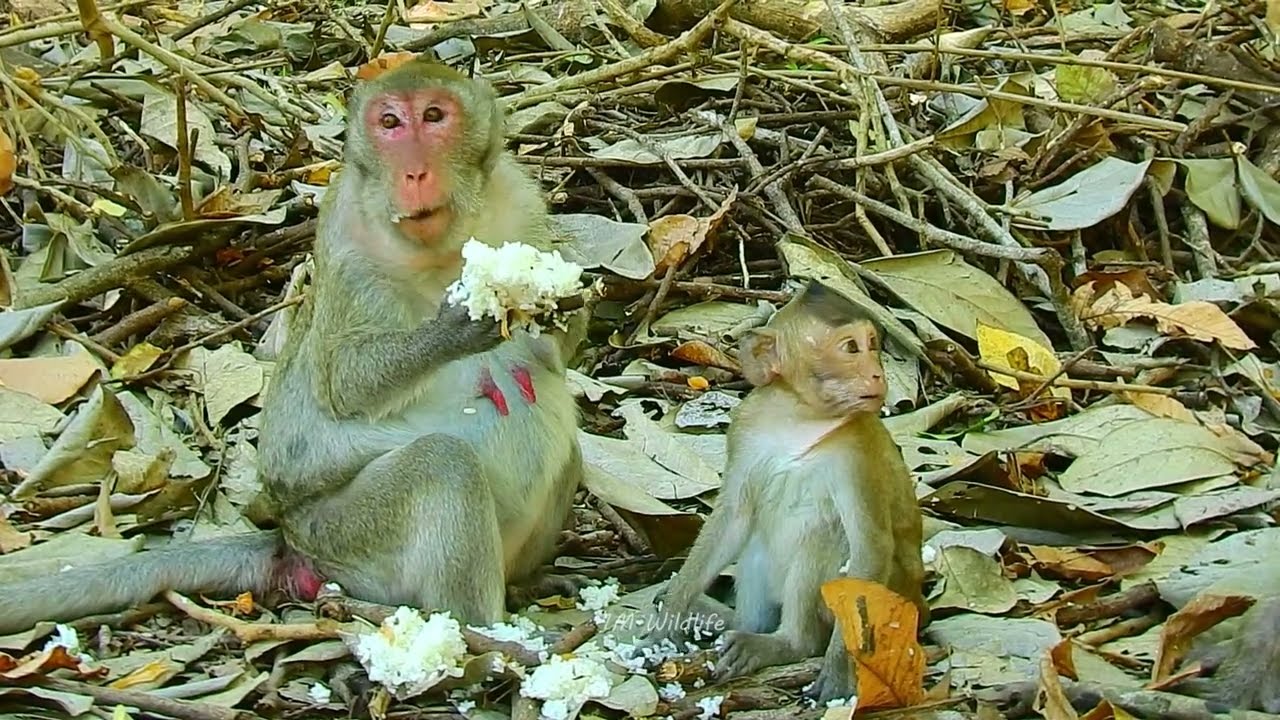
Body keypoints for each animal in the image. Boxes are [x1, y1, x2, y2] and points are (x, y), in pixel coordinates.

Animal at [0, 59, 585, 635]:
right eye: (390, 123)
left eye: (435, 116)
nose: (414, 173)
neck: (446, 245)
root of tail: (294, 546)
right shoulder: (347, 243)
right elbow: (346, 381)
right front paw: (460, 325)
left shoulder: (521, 200)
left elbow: (555, 352)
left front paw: (556, 305)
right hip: (350, 536)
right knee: (441, 462)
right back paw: (485, 630)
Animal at [644, 281, 928, 703]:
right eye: (851, 348)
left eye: (873, 344)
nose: (877, 373)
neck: (799, 417)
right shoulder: (745, 427)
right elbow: (732, 519)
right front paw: (670, 616)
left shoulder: (857, 449)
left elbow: (869, 547)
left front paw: (838, 672)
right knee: (758, 543)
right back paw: (732, 621)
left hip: (891, 608)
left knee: (825, 539)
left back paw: (787, 643)